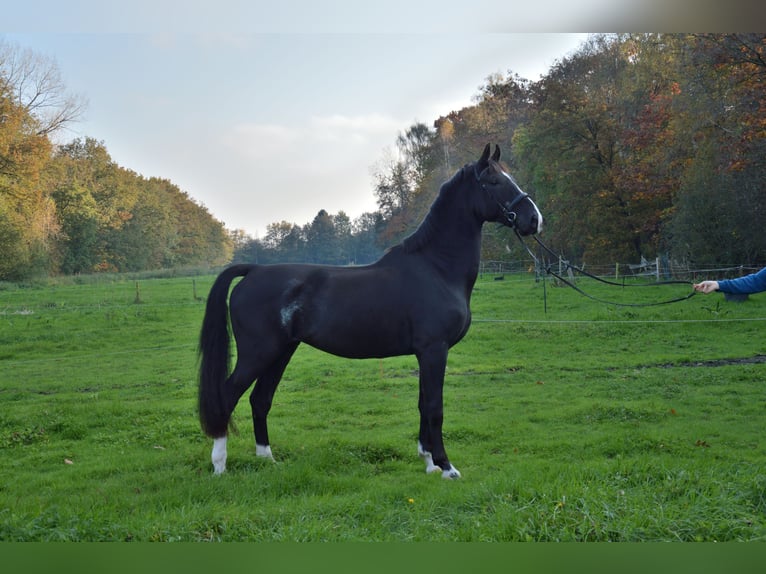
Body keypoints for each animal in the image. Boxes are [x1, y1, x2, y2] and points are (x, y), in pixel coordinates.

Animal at [200, 146, 544, 480]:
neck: (436, 268)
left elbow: (422, 404)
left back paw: (267, 460)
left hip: (282, 351)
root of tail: (254, 270)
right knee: (227, 396)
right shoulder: (435, 350)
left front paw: (428, 461)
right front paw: (446, 467)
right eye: (494, 182)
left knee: (260, 399)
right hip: (258, 353)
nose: (534, 219)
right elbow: (435, 407)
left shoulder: (425, 353)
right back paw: (219, 465)